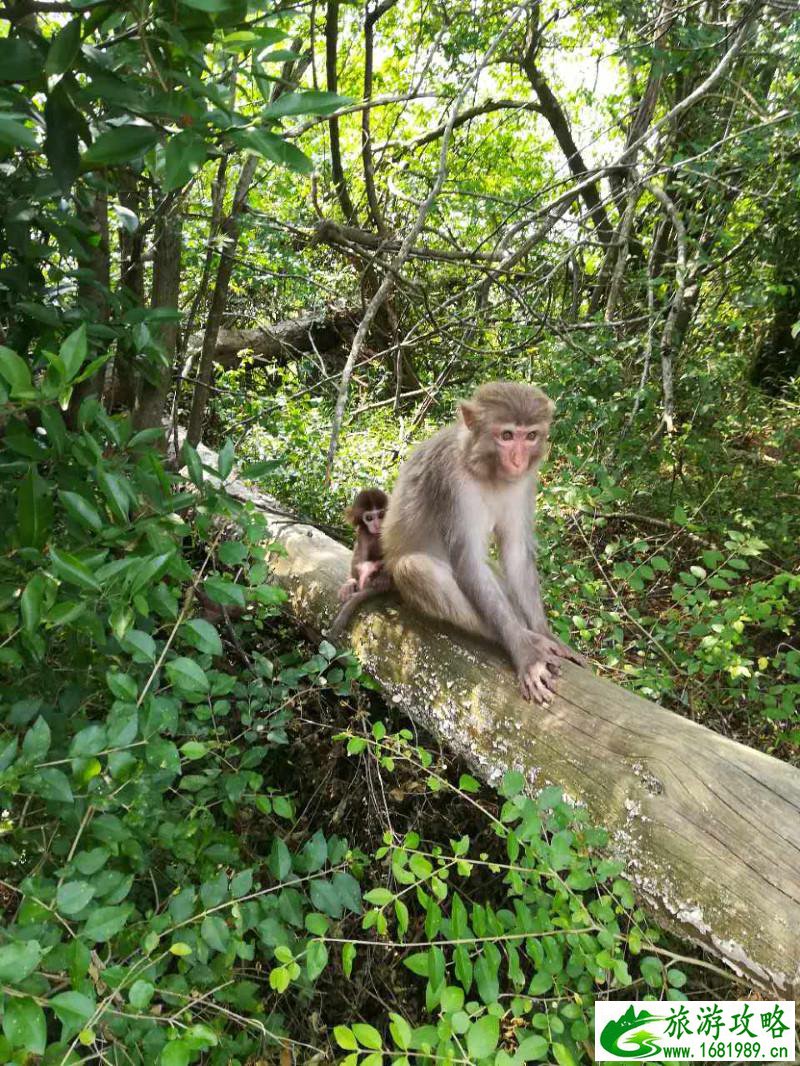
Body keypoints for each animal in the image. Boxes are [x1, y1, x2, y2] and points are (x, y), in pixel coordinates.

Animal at [326, 488, 392, 635]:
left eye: (381, 515)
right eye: (369, 518)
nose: (377, 524)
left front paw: (383, 577)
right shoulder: (363, 532)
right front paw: (352, 581)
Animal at [381, 379, 584, 703]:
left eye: (530, 436)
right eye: (506, 435)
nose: (518, 460)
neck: (485, 468)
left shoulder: (524, 482)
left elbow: (515, 555)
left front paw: (544, 631)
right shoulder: (452, 482)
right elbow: (470, 563)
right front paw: (526, 650)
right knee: (415, 569)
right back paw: (525, 637)